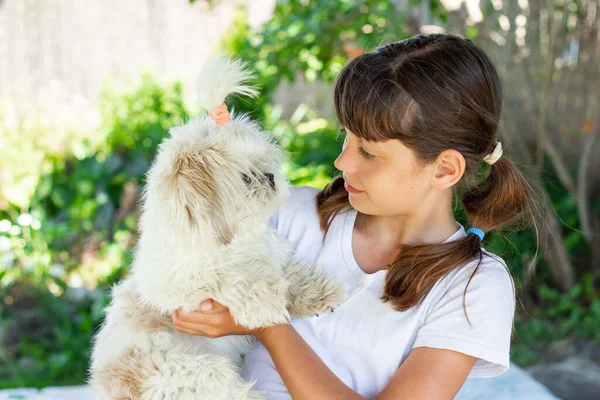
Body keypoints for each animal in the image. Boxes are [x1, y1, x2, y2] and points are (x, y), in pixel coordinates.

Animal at [88, 57, 342, 400]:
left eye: (266, 164)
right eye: (246, 177)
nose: (270, 177)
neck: (234, 240)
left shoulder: (272, 254)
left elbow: (289, 274)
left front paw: (319, 292)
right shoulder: (178, 282)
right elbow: (230, 275)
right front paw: (263, 303)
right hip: (195, 372)